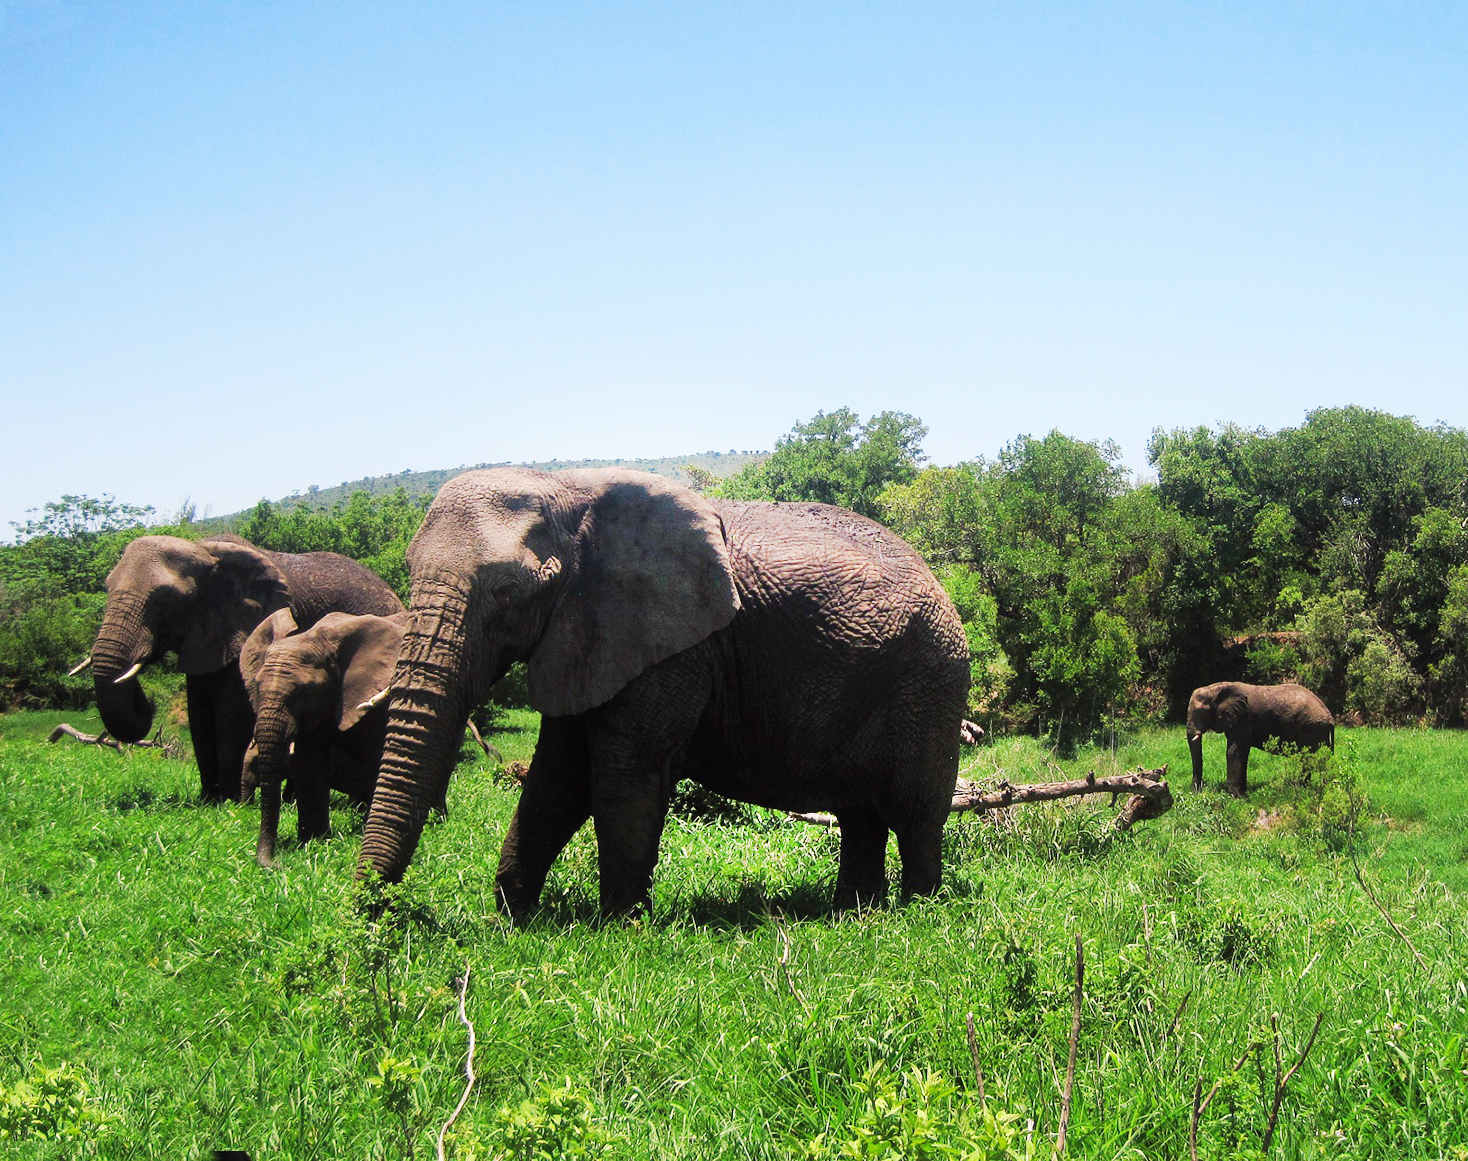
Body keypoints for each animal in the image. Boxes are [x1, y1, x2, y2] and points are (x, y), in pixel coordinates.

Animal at [85, 534, 408, 798]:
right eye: (106, 587)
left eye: (167, 599)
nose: (146, 702)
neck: (202, 549)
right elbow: (198, 714)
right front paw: (208, 800)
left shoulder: (245, 624)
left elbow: (228, 716)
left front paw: (229, 802)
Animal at [240, 607, 411, 863]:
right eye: (258, 687)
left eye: (305, 692)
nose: (273, 863)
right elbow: (309, 765)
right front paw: (315, 842)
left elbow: (377, 755)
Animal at [358, 466, 974, 921]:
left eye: (509, 592)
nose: (381, 915)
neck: (567, 488)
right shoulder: (588, 636)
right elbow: (557, 776)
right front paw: (514, 918)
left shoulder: (673, 647)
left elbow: (621, 774)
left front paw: (620, 928)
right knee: (859, 814)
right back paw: (854, 914)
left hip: (932, 682)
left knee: (916, 815)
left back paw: (918, 913)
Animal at [1186, 681, 1338, 798]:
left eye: (1202, 712)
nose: (1196, 792)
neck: (1216, 688)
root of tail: (1330, 718)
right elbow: (1242, 753)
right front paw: (1241, 793)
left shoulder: (1243, 719)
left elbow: (1234, 752)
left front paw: (1234, 796)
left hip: (1312, 729)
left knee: (1309, 759)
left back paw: (1302, 787)